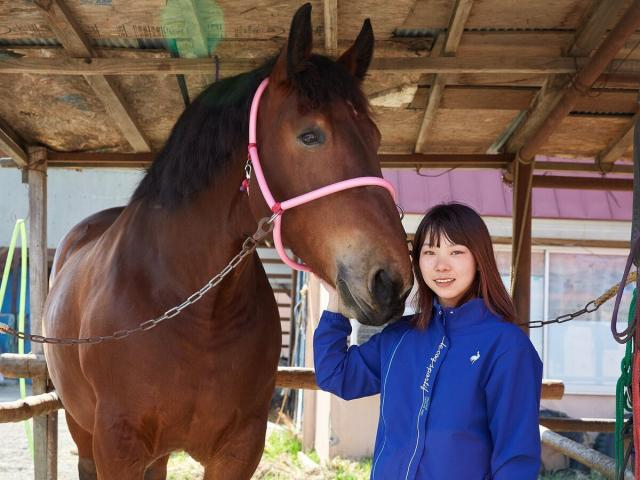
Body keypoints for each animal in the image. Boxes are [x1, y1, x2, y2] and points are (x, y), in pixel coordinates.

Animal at [46, 4, 416, 480]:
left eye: (375, 137)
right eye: (310, 135)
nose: (391, 281)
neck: (190, 313)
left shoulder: (240, 448)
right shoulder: (117, 446)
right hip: (82, 429)